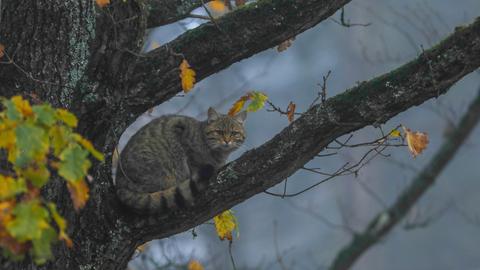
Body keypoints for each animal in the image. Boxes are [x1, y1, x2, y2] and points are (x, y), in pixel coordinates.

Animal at [114, 107, 246, 215]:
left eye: (234, 133)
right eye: (219, 132)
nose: (227, 141)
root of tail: (119, 184)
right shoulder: (184, 139)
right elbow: (195, 166)